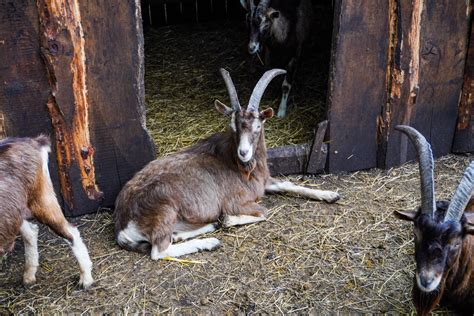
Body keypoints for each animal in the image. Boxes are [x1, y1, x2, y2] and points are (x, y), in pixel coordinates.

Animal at [0, 136, 93, 288]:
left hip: (42, 201)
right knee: (31, 232)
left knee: (71, 232)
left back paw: (85, 279)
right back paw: (28, 276)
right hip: (17, 209)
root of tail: (35, 142)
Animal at [115, 68, 340, 260]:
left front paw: (331, 195)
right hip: (165, 211)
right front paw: (229, 220)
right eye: (233, 126)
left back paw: (205, 228)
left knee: (171, 239)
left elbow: (290, 184)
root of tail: (122, 224)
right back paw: (210, 241)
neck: (237, 163)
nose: (244, 152)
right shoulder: (235, 201)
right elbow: (263, 212)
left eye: (258, 126)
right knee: (159, 250)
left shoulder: (265, 181)